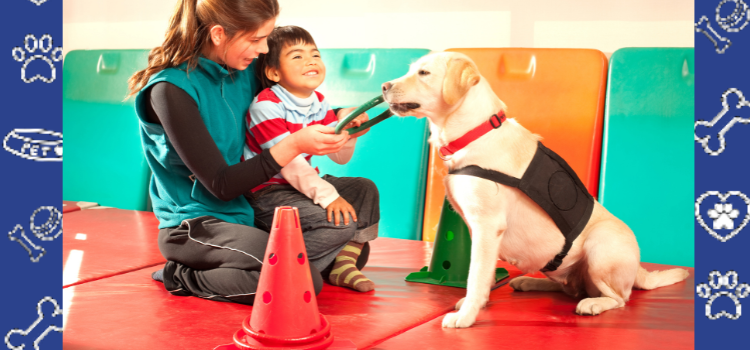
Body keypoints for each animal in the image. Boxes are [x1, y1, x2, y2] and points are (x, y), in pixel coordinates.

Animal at [384, 52, 692, 328]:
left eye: (424, 73)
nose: (384, 86)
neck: (475, 132)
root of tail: (640, 270)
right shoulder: (475, 229)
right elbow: (482, 274)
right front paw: (479, 303)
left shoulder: (487, 226)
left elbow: (476, 275)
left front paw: (467, 315)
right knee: (570, 287)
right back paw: (529, 281)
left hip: (600, 247)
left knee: (618, 299)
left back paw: (593, 303)